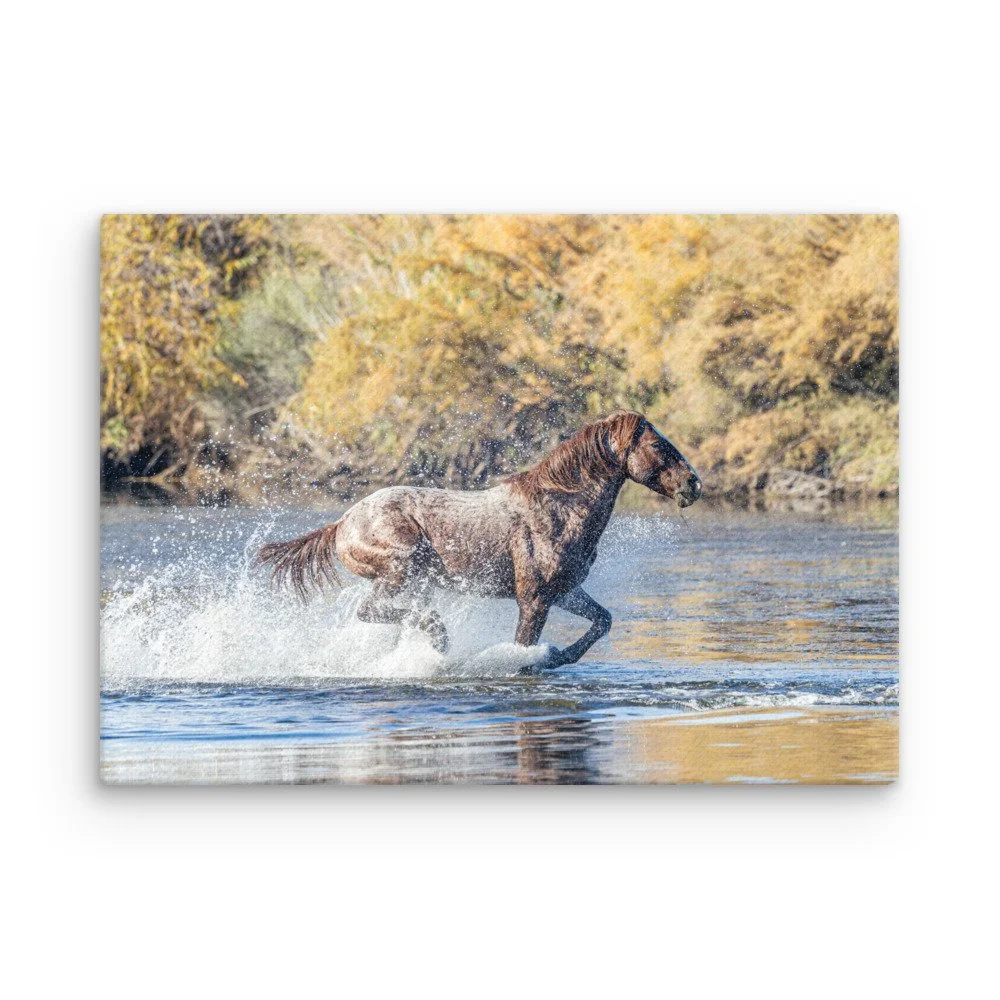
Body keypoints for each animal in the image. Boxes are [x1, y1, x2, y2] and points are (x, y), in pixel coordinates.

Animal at [257, 411, 702, 668]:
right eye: (657, 444)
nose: (693, 485)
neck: (559, 508)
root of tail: (342, 522)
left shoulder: (564, 591)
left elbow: (602, 621)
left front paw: (561, 656)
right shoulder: (534, 598)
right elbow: (524, 648)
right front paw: (536, 660)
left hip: (415, 580)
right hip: (400, 566)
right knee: (372, 611)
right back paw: (438, 636)